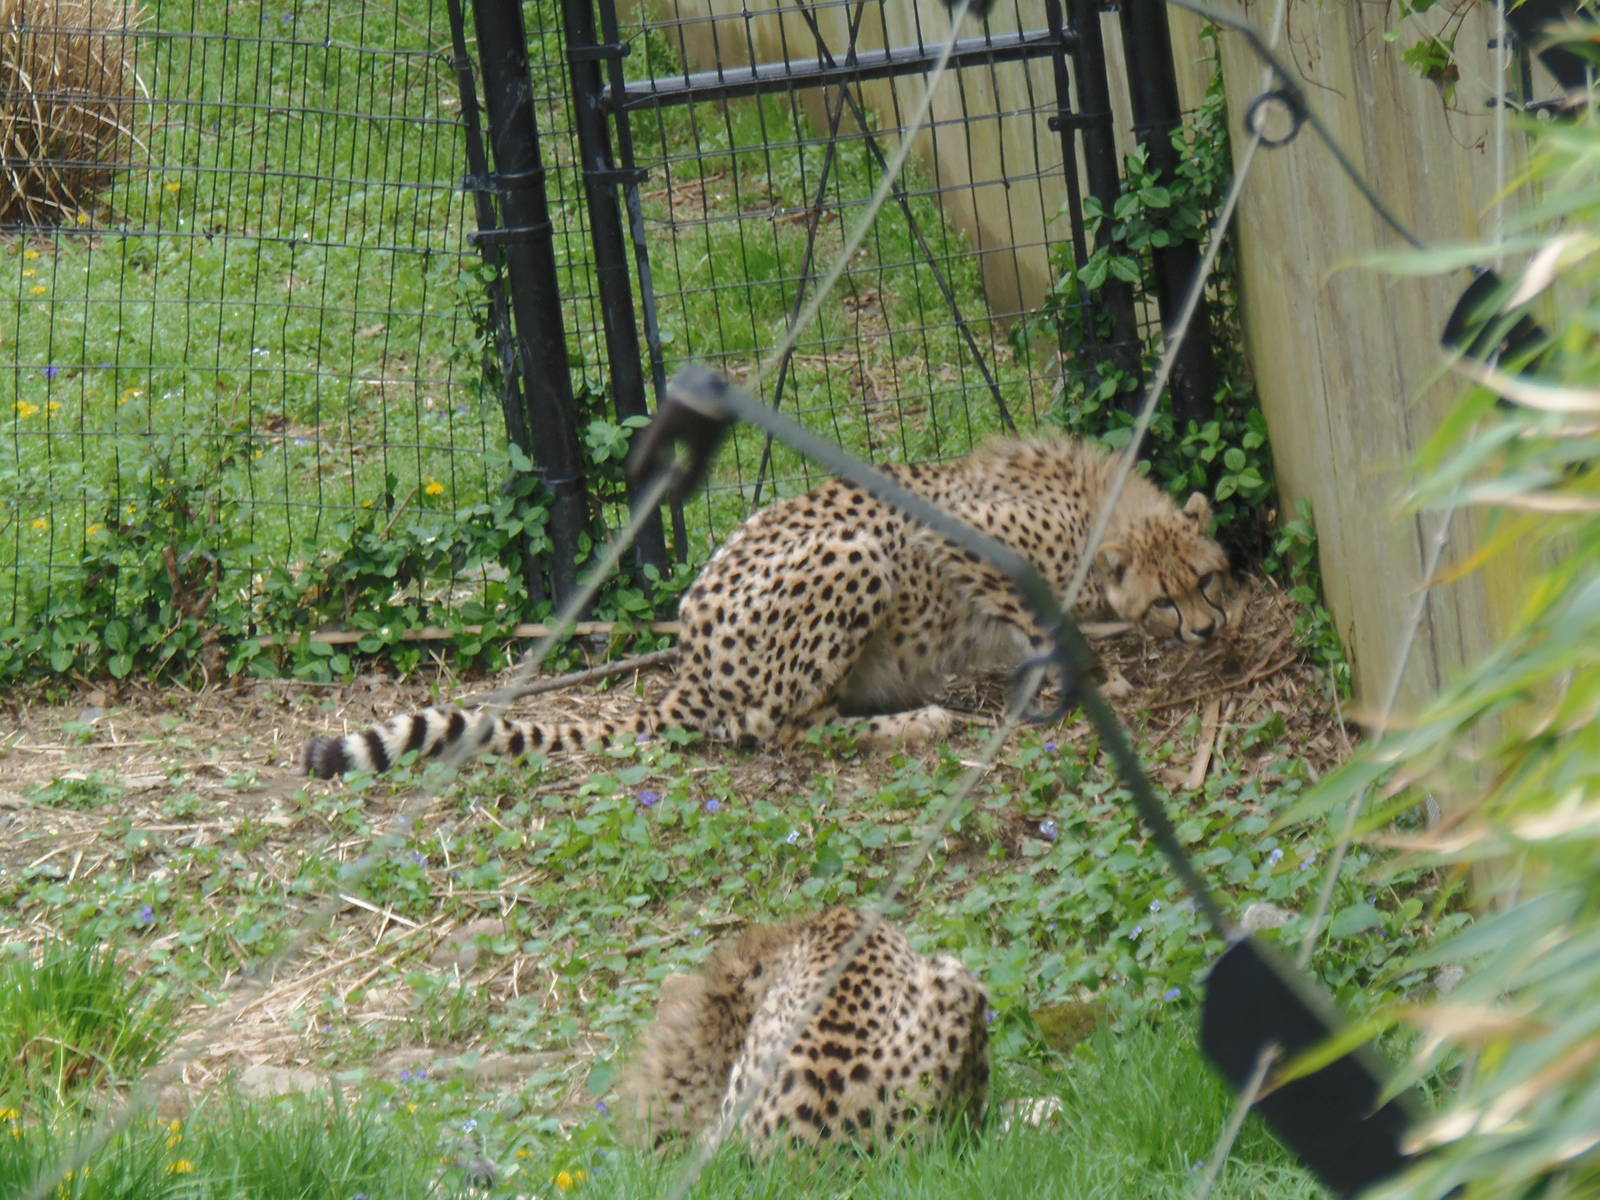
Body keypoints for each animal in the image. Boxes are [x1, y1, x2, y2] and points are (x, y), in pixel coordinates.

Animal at [301, 434, 1235, 777]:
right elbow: (1051, 625)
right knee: (767, 730)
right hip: (855, 555)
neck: (1093, 507)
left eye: (1209, 581)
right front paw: (1103, 678)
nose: (1207, 630)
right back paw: (917, 722)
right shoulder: (968, 543)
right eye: (1165, 601)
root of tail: (687, 663)